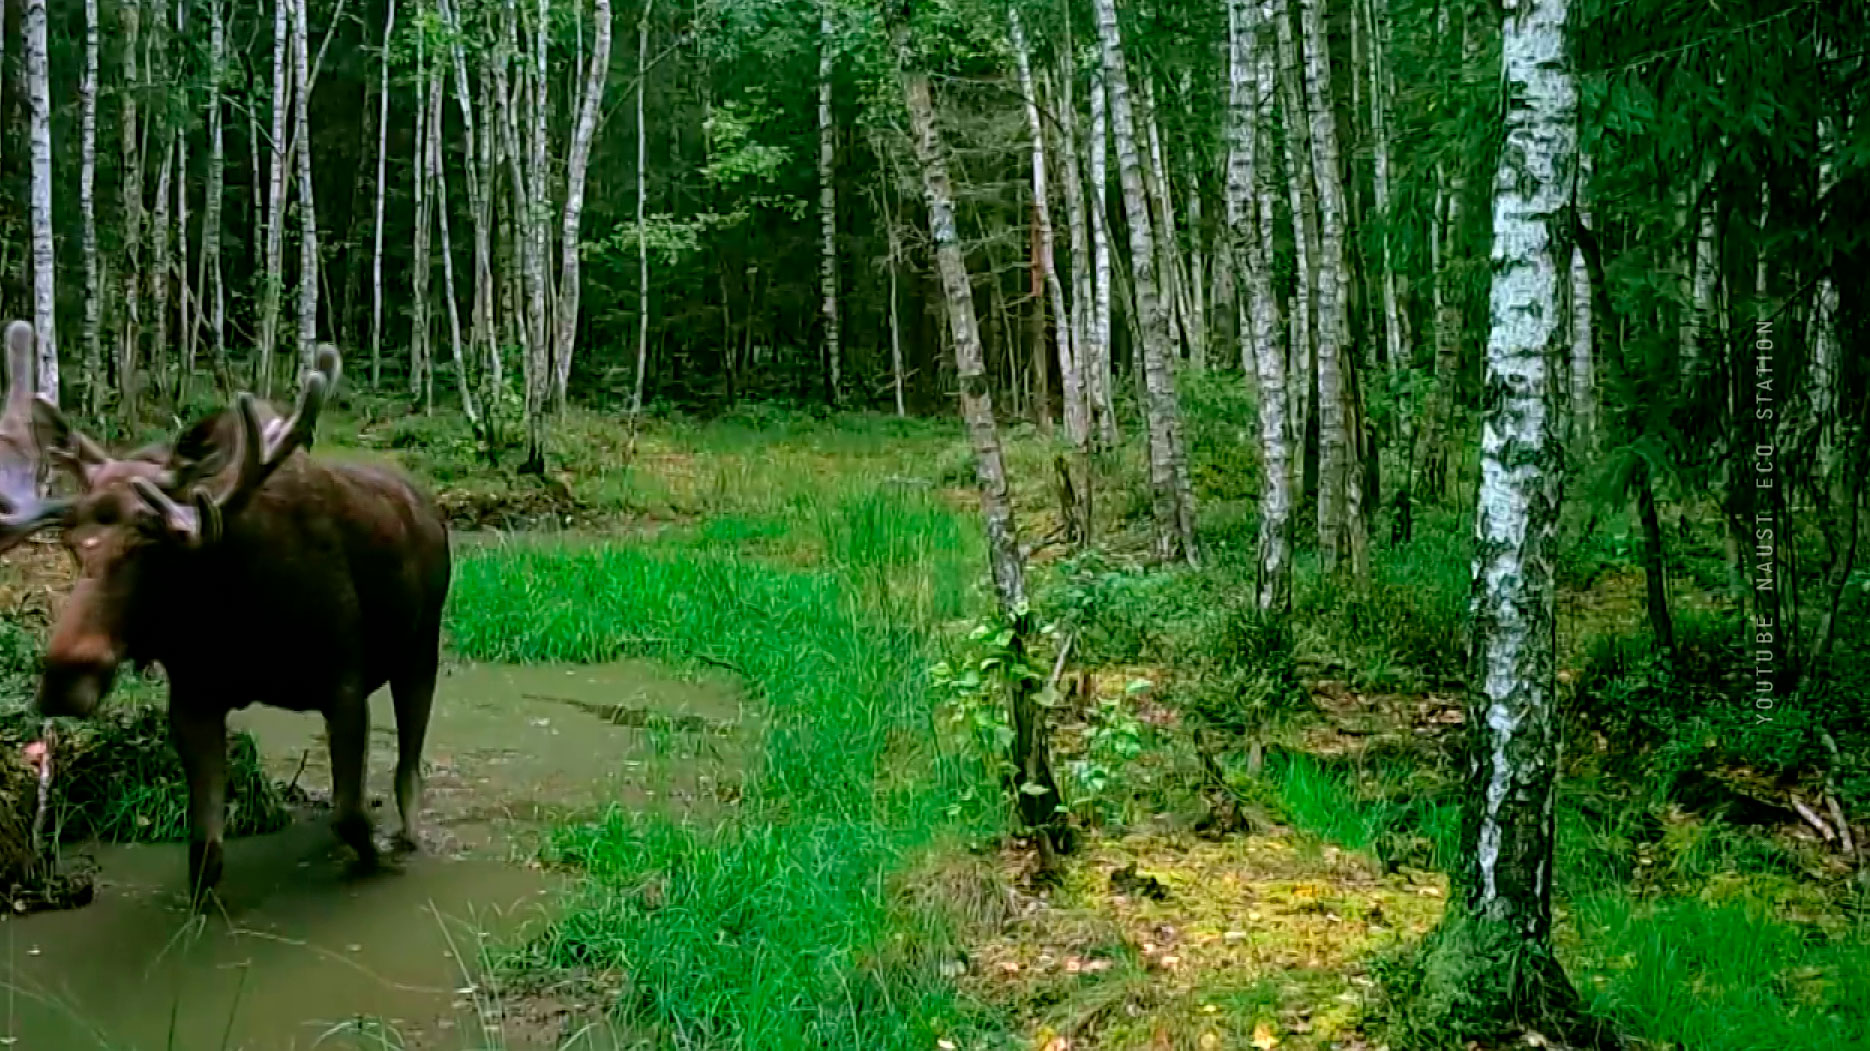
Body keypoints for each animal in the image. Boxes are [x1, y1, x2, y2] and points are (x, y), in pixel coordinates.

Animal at [0, 319, 448, 890]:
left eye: (153, 543)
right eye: (71, 543)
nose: (63, 676)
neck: (235, 614)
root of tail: (430, 510)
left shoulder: (344, 679)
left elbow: (351, 816)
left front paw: (377, 860)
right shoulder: (194, 696)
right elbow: (205, 852)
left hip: (422, 646)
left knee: (408, 765)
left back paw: (407, 837)